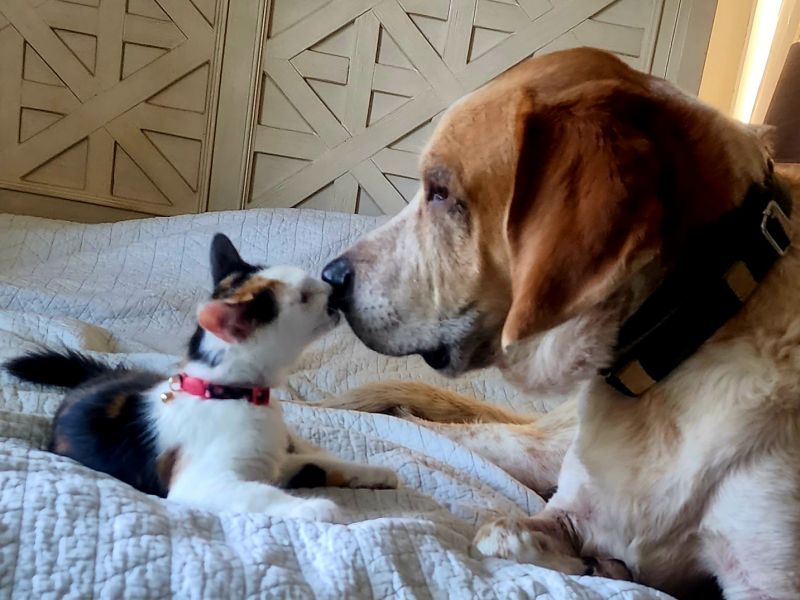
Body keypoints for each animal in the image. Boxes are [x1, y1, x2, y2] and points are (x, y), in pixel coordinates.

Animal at [3, 233, 396, 520]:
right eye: (305, 296)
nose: (333, 284)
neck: (232, 391)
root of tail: (99, 376)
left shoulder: (274, 460)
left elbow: (321, 464)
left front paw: (373, 472)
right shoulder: (202, 482)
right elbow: (262, 495)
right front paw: (316, 508)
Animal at [322, 48, 800, 600]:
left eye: (440, 192)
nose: (330, 278)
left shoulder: (769, 580)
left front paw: (605, 566)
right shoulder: (569, 509)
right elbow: (504, 533)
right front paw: (597, 561)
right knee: (437, 428)